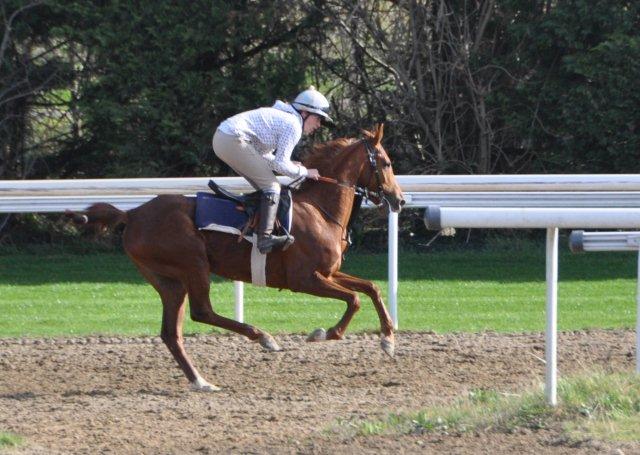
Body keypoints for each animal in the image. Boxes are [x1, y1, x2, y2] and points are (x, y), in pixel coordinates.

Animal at [66, 124, 404, 392]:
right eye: (386, 163)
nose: (399, 199)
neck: (319, 210)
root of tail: (133, 214)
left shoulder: (329, 272)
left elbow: (371, 287)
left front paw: (388, 339)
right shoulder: (304, 279)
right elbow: (354, 299)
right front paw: (328, 332)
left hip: (168, 281)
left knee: (171, 332)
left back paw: (201, 381)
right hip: (193, 264)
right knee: (202, 312)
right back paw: (263, 337)